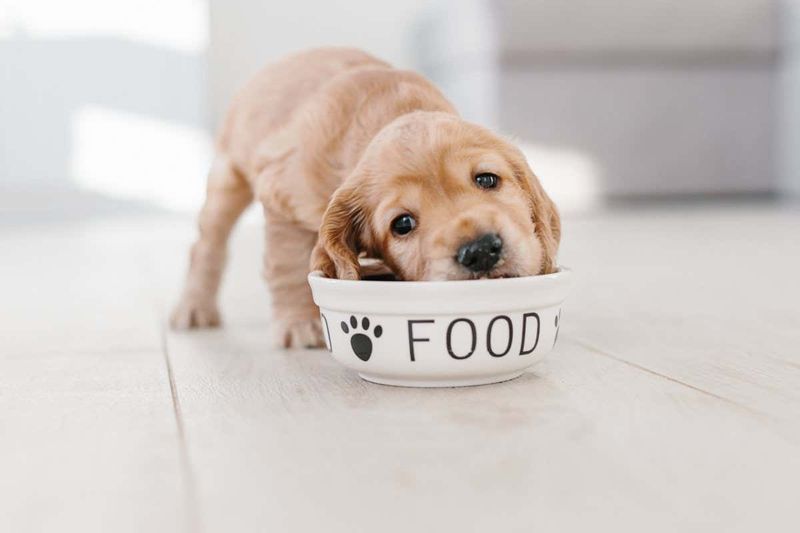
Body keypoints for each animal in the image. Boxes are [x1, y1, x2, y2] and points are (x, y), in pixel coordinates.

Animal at [169, 47, 560, 348]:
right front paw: (298, 324)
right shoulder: (282, 198)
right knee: (206, 245)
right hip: (227, 179)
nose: (479, 251)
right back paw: (194, 308)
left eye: (487, 179)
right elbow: (288, 265)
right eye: (402, 224)